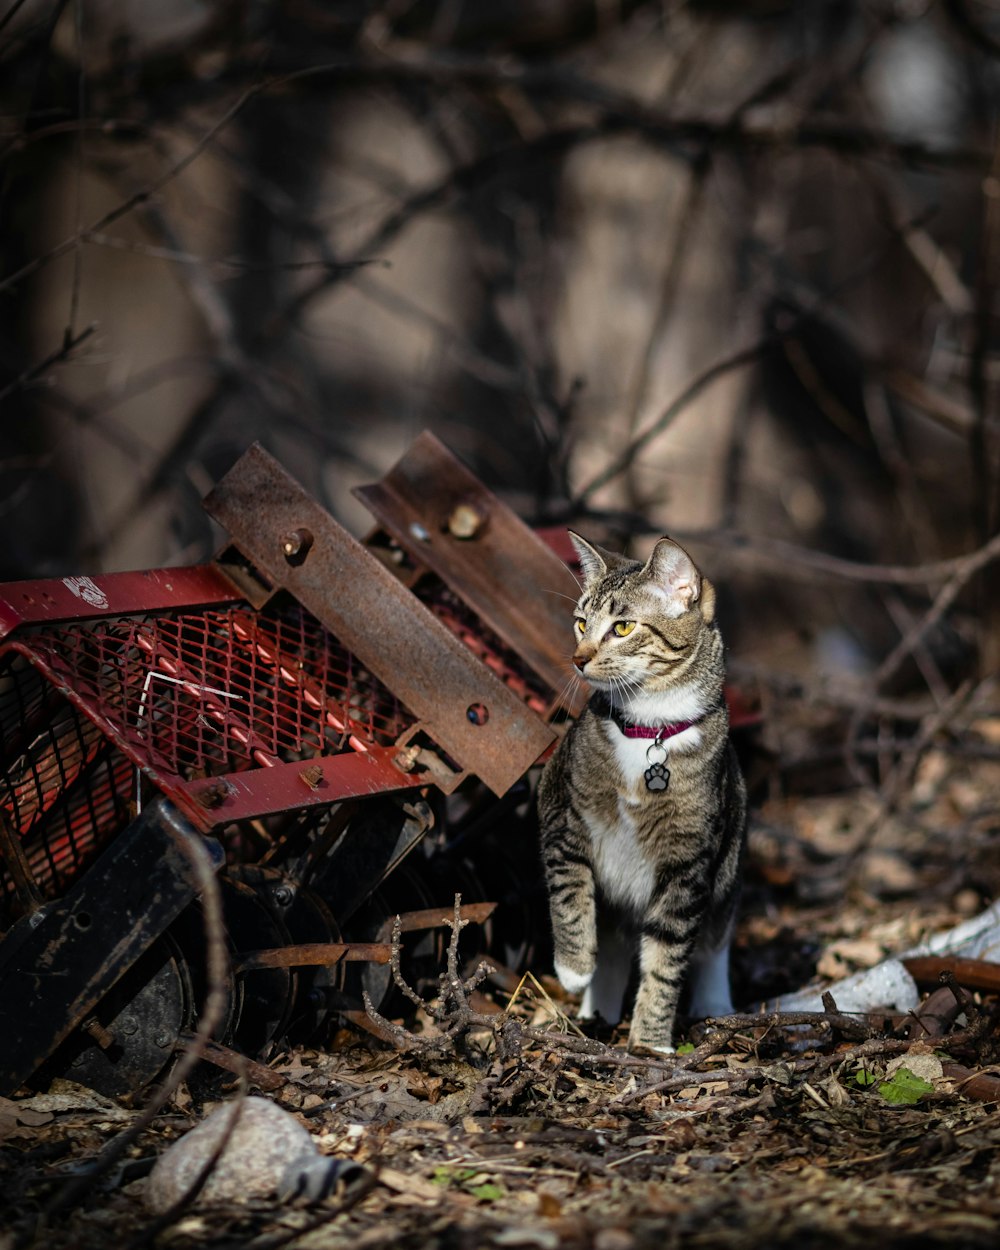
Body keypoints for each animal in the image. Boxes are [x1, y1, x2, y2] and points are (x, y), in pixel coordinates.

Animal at [535, 532, 745, 1050]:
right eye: (581, 623)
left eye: (624, 627)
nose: (578, 658)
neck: (650, 731)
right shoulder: (559, 813)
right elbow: (570, 893)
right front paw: (572, 969)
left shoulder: (690, 863)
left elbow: (666, 958)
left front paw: (650, 1042)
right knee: (611, 946)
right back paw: (595, 1011)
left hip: (729, 866)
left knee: (714, 942)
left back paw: (714, 1004)